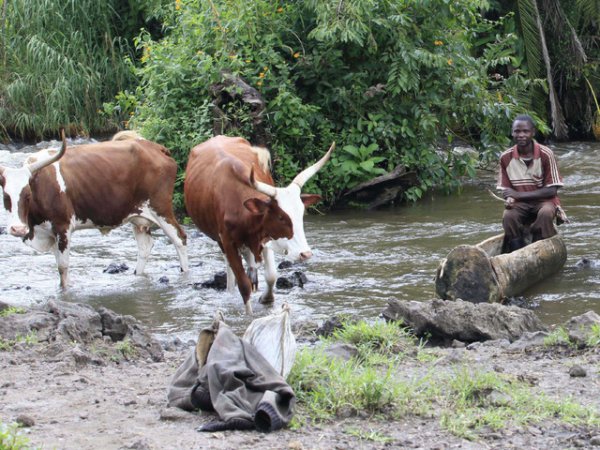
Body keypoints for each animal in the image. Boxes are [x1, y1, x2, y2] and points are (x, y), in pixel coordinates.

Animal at [0, 129, 188, 288]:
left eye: (27, 195)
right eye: (5, 196)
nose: (17, 229)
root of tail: (155, 147)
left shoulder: (63, 228)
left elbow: (63, 268)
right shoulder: (50, 234)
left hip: (161, 209)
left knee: (180, 239)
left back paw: (185, 274)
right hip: (138, 216)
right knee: (145, 246)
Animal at [184, 135, 332, 314]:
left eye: (301, 213)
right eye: (281, 217)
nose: (306, 254)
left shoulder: (265, 235)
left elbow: (271, 276)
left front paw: (266, 298)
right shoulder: (228, 242)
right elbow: (243, 285)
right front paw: (249, 315)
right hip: (219, 240)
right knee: (231, 271)